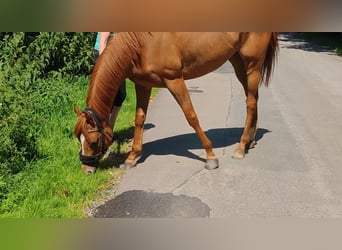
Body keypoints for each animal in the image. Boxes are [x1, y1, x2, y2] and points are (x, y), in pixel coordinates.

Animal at [73, 32, 278, 174]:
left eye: (93, 140)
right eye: (79, 139)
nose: (86, 170)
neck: (142, 42)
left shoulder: (174, 80)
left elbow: (191, 116)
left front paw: (211, 157)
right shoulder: (143, 84)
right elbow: (139, 118)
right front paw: (131, 158)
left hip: (253, 64)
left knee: (251, 102)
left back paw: (241, 147)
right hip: (238, 63)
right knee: (253, 99)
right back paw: (250, 140)